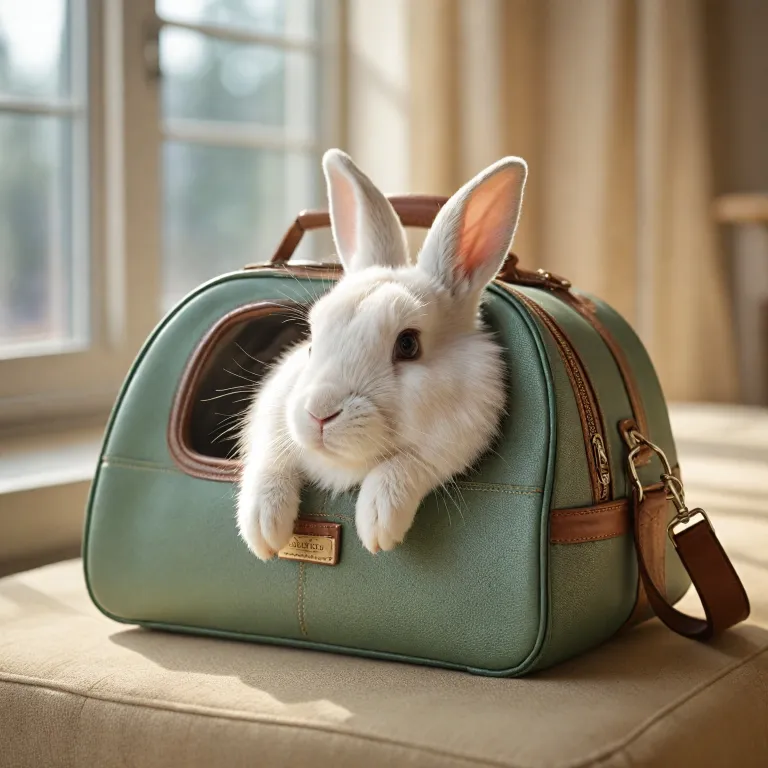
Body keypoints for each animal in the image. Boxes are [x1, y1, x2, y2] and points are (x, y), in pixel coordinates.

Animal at [236, 149, 527, 560]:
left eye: (407, 344)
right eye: (311, 342)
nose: (319, 414)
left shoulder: (456, 441)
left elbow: (408, 463)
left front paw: (378, 525)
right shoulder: (272, 417)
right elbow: (270, 459)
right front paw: (264, 531)